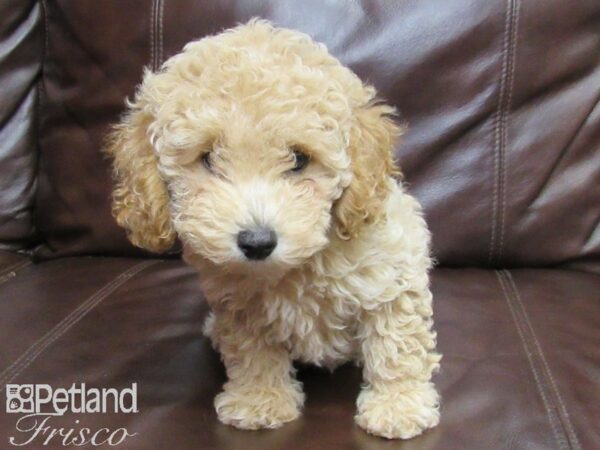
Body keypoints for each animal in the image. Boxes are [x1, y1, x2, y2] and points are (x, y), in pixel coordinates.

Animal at [104, 19, 440, 438]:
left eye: (299, 159)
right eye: (208, 158)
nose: (257, 242)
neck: (299, 267)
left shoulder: (393, 273)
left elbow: (396, 342)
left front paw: (398, 406)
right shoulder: (239, 306)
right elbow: (253, 352)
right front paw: (259, 400)